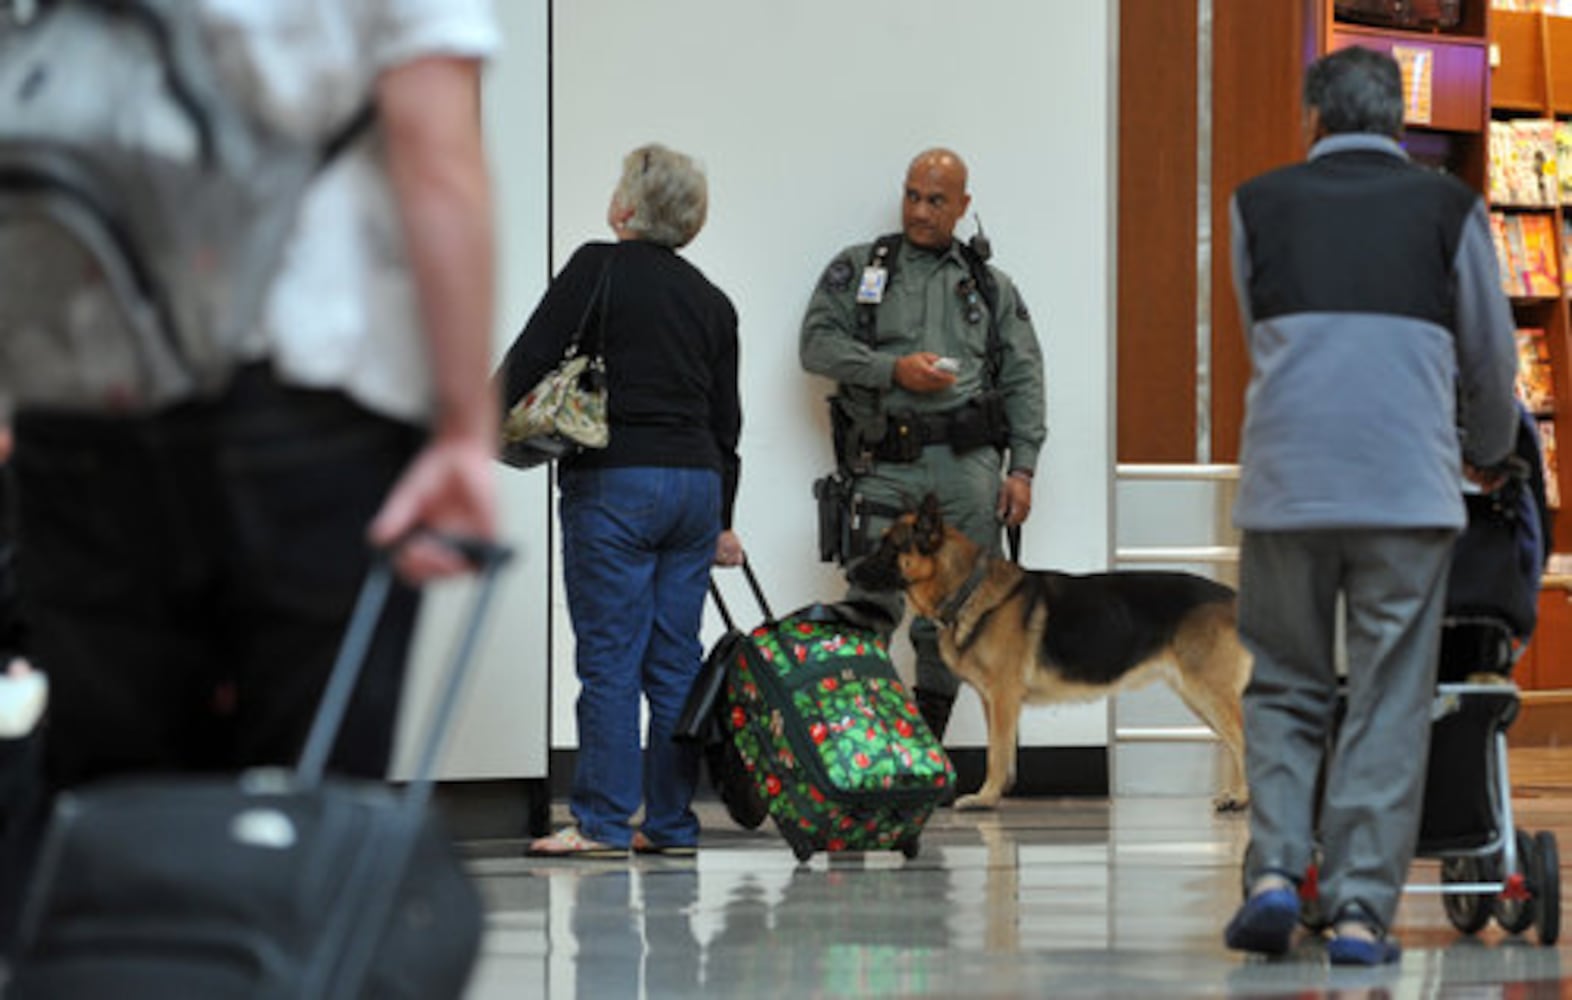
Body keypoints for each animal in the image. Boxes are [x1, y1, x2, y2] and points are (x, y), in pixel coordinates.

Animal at [848, 493, 1251, 811]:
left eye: (890, 547)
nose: (849, 572)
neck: (968, 589)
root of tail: (1235, 599)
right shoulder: (994, 702)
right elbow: (1003, 751)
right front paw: (997, 793)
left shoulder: (1003, 697)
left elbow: (995, 754)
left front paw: (984, 798)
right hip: (1202, 700)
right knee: (1237, 744)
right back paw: (1237, 796)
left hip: (1209, 695)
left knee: (1243, 742)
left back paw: (1244, 801)